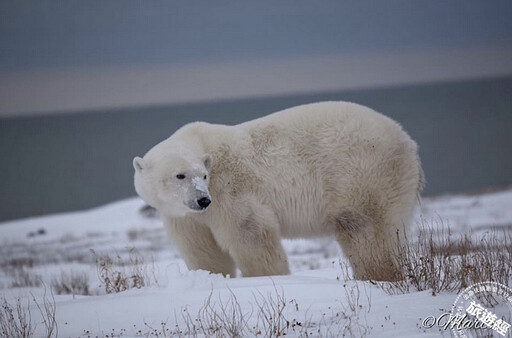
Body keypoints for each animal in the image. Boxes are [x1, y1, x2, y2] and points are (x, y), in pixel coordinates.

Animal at [133, 101, 424, 282]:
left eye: (203, 175)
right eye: (180, 175)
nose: (202, 199)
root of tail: (407, 141)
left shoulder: (230, 189)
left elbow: (250, 233)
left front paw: (264, 279)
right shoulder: (184, 217)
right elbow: (202, 249)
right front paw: (212, 278)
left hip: (361, 171)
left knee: (363, 227)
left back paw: (378, 275)